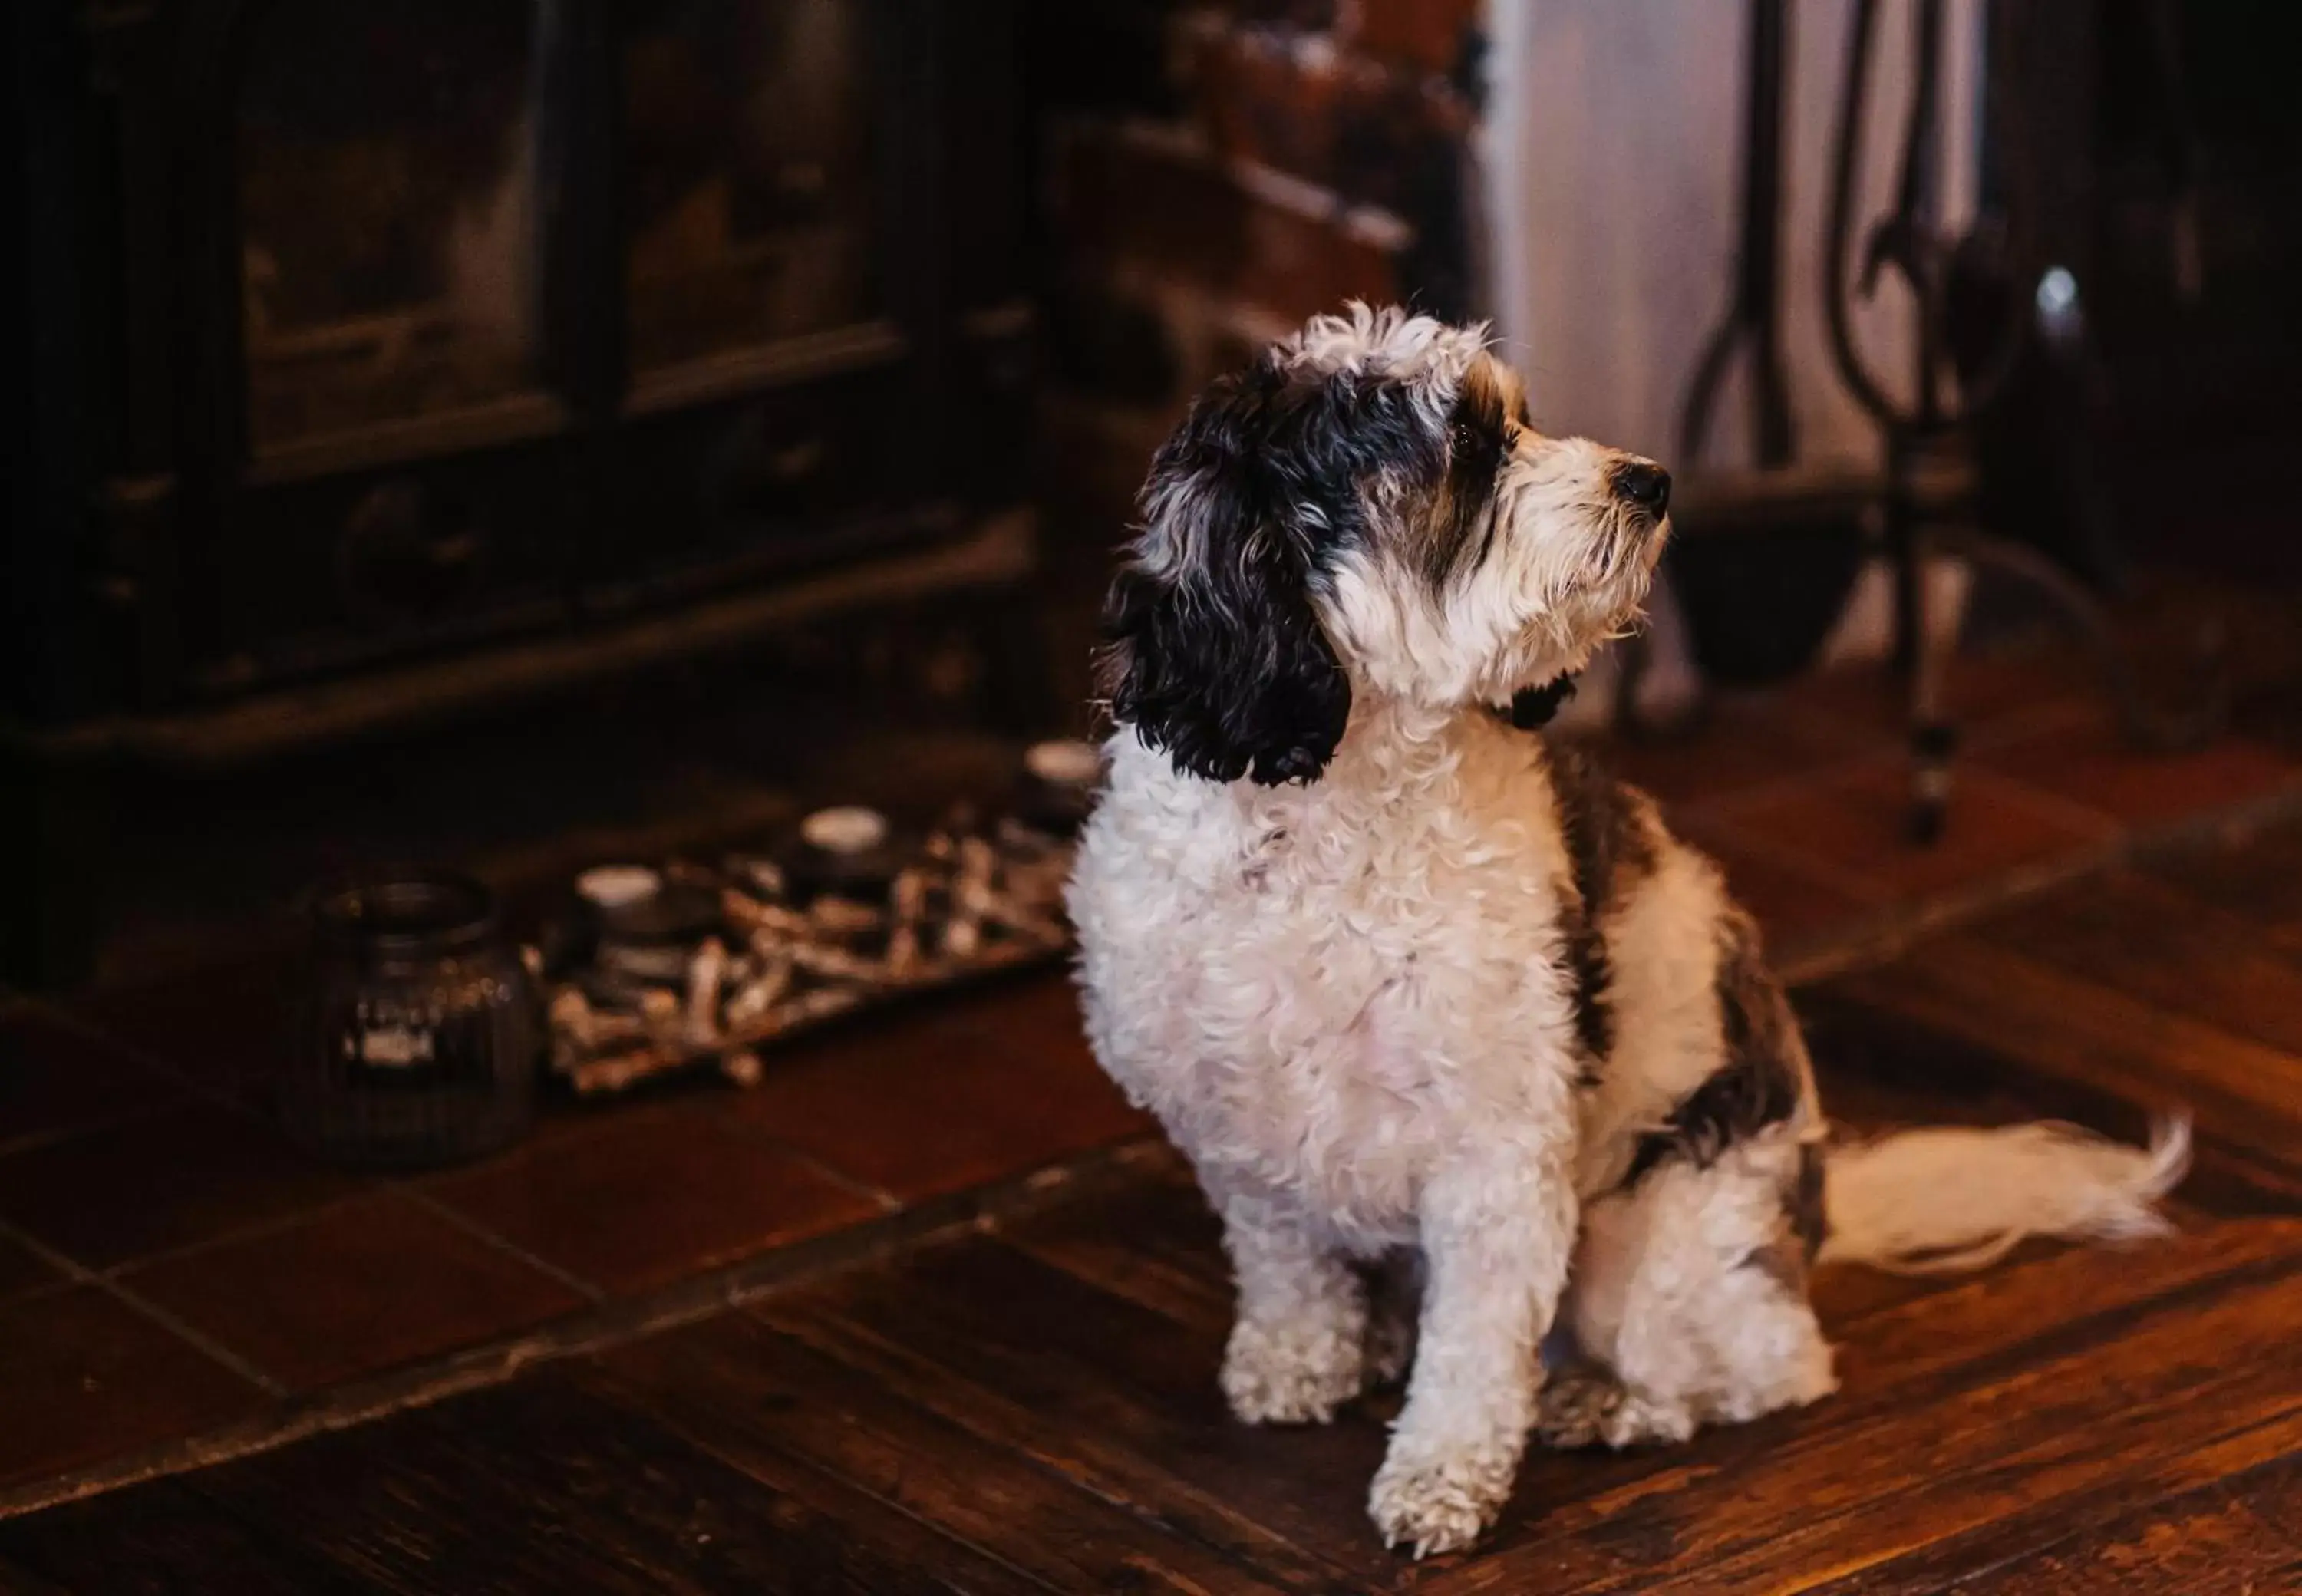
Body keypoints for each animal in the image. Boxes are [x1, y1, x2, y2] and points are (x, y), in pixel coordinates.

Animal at [1064, 304, 2192, 1547]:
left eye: (1524, 415)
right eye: (1464, 452)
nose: (1648, 479)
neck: (1330, 823)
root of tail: (1817, 1219)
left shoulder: (1498, 1163)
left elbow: (1475, 1356)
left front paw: (1440, 1480)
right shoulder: (1238, 1137)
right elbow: (1285, 1272)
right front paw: (1296, 1366)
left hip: (1645, 1247)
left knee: (1764, 1363)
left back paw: (1610, 1404)